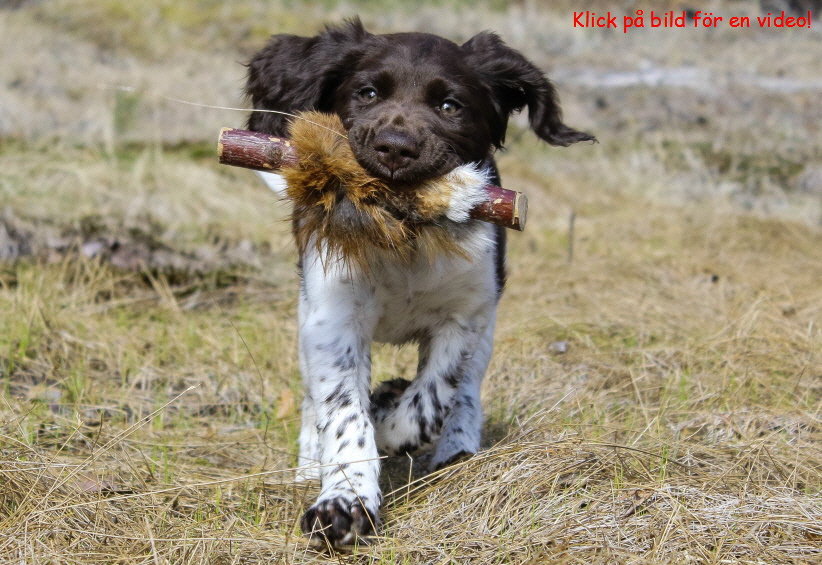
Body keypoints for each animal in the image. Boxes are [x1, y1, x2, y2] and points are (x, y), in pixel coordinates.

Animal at [243, 19, 592, 544]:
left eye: (450, 106)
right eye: (367, 93)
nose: (395, 148)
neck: (404, 234)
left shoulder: (464, 317)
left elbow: (431, 399)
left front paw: (390, 421)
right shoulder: (333, 317)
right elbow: (343, 412)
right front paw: (344, 501)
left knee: (465, 392)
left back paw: (455, 448)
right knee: (311, 397)